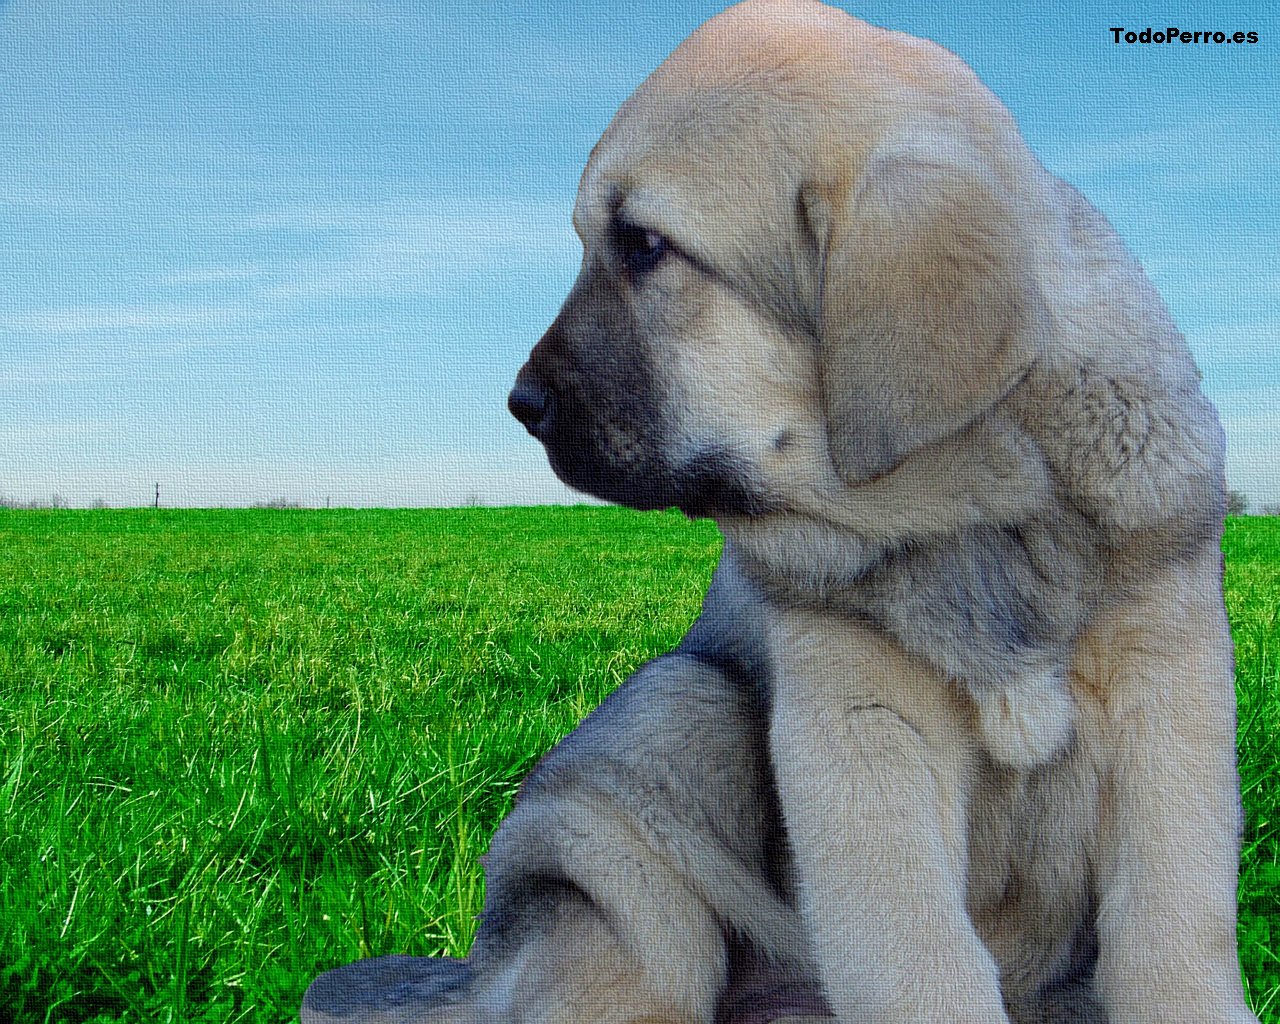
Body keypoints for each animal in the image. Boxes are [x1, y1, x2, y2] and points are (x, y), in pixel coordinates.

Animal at [304, 2, 1254, 1024]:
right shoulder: (859, 726)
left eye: (645, 247)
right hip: (657, 750)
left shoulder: (1168, 690)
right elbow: (920, 958)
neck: (980, 512)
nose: (522, 404)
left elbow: (1172, 929)